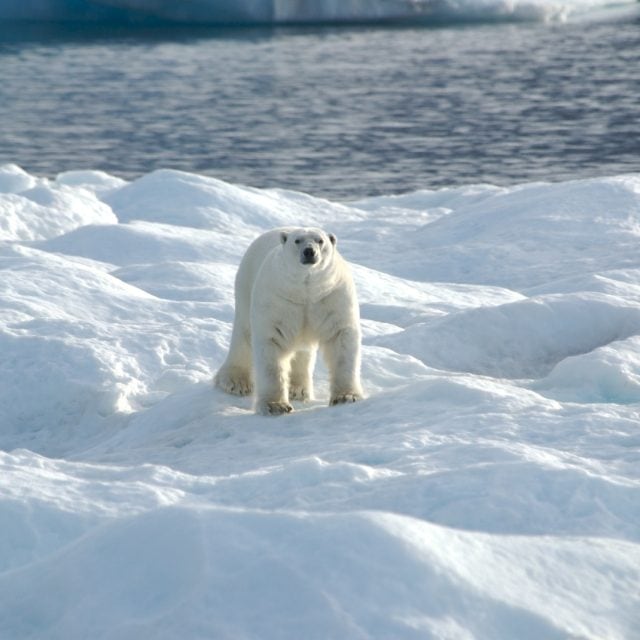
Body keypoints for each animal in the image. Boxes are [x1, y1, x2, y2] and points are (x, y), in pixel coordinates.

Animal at [214, 227, 363, 415]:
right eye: (297, 240)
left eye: (320, 240)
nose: (309, 252)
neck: (306, 289)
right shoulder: (277, 300)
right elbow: (271, 345)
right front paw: (275, 406)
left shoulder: (332, 297)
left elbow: (341, 339)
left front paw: (347, 397)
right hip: (245, 287)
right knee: (243, 336)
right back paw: (235, 382)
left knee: (302, 351)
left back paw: (298, 389)